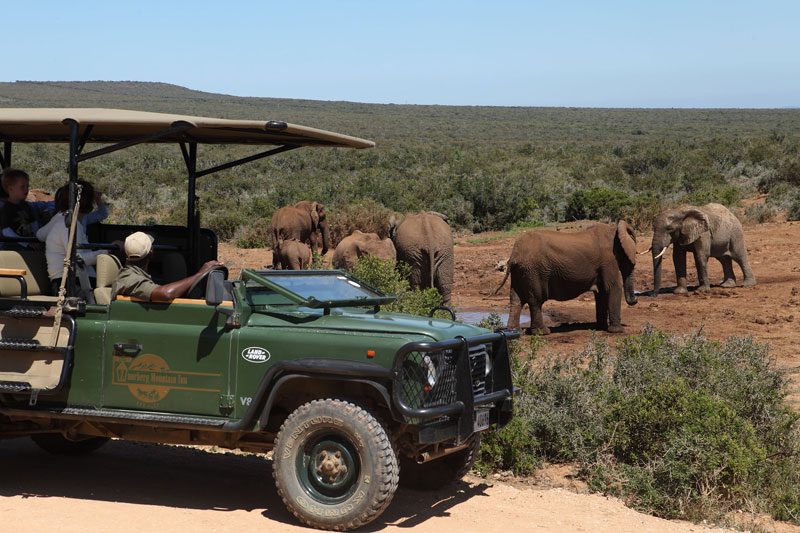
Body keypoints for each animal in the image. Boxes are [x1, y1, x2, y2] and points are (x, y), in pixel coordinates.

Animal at [495, 221, 638, 334]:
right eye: (627, 258)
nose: (635, 300)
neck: (615, 230)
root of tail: (514, 255)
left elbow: (601, 292)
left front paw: (601, 328)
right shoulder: (609, 260)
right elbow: (613, 287)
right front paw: (617, 331)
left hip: (521, 271)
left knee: (516, 299)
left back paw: (514, 332)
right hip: (533, 270)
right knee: (536, 299)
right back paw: (543, 332)